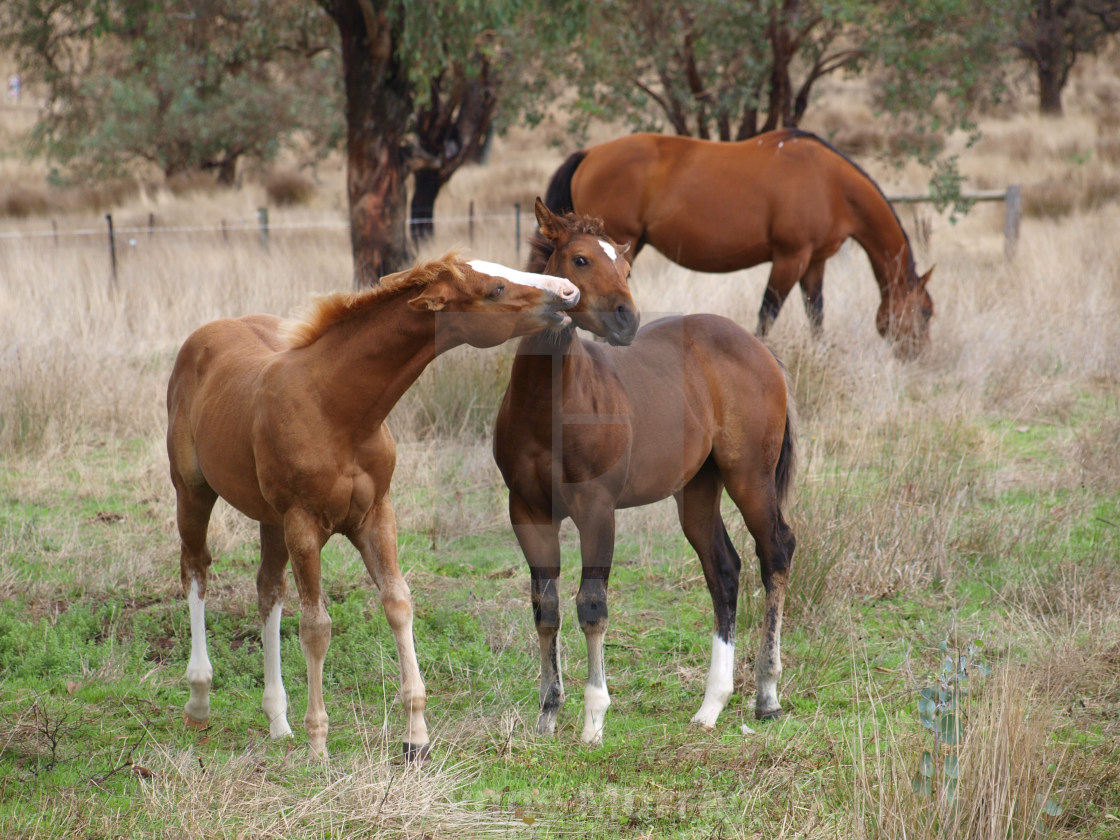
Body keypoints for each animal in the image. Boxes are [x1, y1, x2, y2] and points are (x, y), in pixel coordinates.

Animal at [169, 253, 582, 761]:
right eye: (496, 289)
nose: (567, 291)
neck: (337, 409)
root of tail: (205, 334)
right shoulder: (304, 523)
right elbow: (316, 626)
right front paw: (319, 745)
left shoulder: (375, 515)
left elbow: (398, 604)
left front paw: (416, 736)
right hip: (193, 491)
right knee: (195, 570)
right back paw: (199, 701)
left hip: (271, 519)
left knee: (268, 590)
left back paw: (278, 721)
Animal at [490, 200, 797, 748]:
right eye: (581, 259)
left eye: (627, 268)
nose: (626, 319)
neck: (549, 406)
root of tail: (761, 350)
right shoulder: (527, 510)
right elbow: (546, 609)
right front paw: (548, 714)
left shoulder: (596, 509)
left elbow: (592, 606)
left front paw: (593, 720)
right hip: (697, 490)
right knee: (724, 571)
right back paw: (711, 706)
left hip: (750, 478)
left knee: (776, 552)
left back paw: (766, 694)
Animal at [546, 128, 931, 358]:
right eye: (926, 312)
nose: (917, 354)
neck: (830, 182)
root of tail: (589, 154)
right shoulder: (790, 258)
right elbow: (767, 314)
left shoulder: (815, 263)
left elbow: (816, 315)